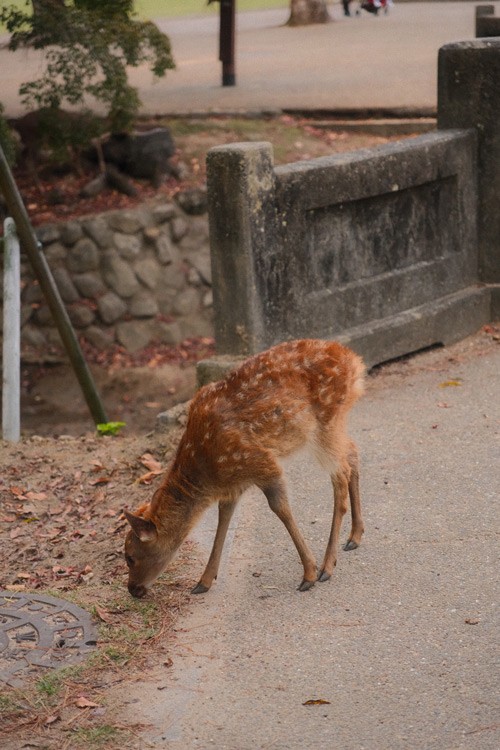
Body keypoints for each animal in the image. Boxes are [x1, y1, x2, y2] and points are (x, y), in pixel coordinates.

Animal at [123, 340, 366, 600]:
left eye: (131, 557)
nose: (133, 589)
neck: (207, 475)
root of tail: (354, 360)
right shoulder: (234, 482)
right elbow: (224, 516)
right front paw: (204, 581)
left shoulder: (261, 463)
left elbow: (280, 509)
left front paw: (308, 574)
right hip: (334, 424)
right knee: (352, 451)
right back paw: (354, 536)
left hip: (324, 423)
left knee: (340, 474)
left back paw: (327, 566)